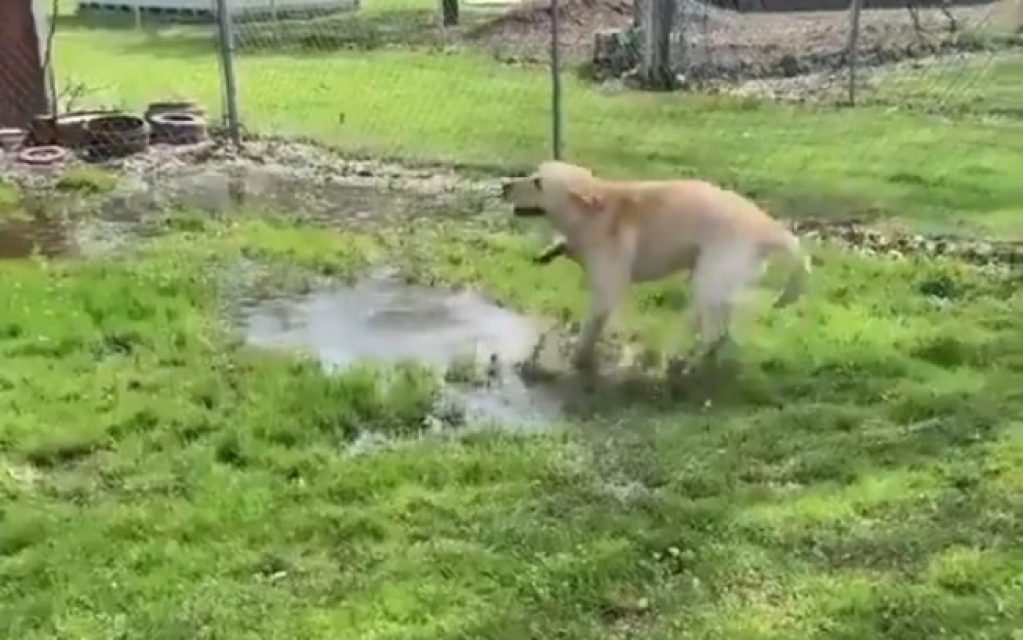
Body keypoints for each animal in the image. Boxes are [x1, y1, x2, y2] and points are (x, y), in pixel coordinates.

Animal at [499, 159, 810, 372]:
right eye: (533, 173)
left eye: (539, 183)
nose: (503, 185)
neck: (597, 213)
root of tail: (767, 227)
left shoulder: (606, 289)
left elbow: (591, 328)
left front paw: (577, 359)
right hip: (711, 283)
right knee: (715, 325)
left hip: (709, 279)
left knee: (712, 332)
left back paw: (686, 363)